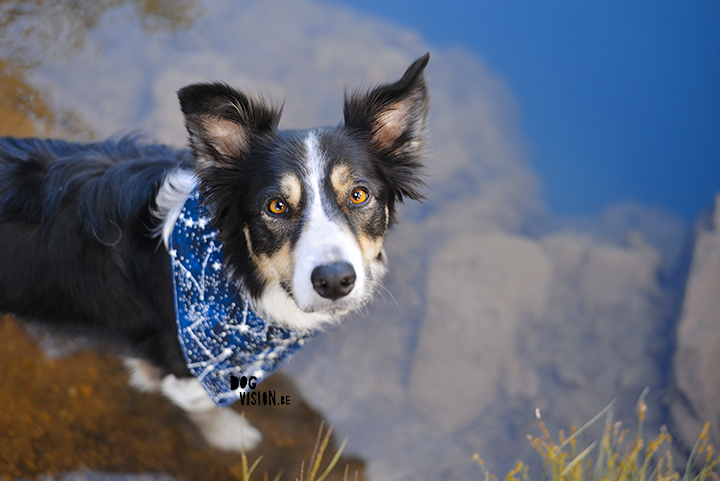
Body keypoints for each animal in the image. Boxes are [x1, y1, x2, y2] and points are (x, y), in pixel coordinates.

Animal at [0, 54, 428, 452]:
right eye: (276, 206)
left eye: (359, 195)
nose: (336, 280)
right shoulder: (181, 367)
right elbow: (205, 408)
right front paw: (232, 438)